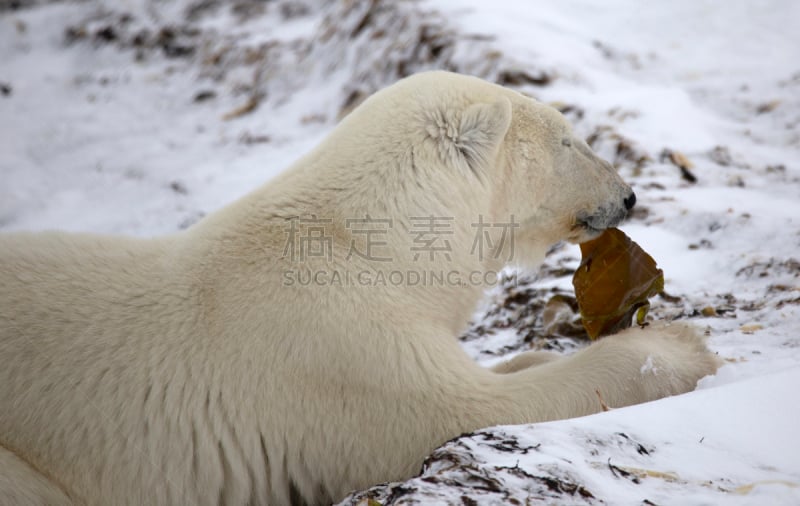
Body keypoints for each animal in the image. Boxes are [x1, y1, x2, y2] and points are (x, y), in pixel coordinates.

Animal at [1, 72, 720, 506]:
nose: (628, 194)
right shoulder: (340, 349)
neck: (367, 243)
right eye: (570, 140)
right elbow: (472, 410)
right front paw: (682, 348)